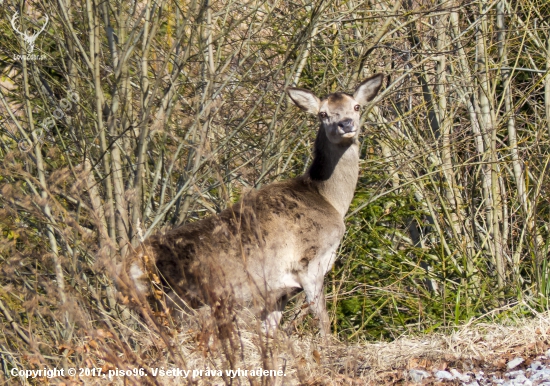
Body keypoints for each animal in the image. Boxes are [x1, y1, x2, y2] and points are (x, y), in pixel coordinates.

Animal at [124, 74, 384, 334]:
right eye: (323, 113)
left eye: (356, 106)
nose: (346, 124)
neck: (329, 200)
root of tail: (130, 265)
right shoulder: (309, 262)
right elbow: (323, 323)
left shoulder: (280, 292)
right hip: (180, 300)